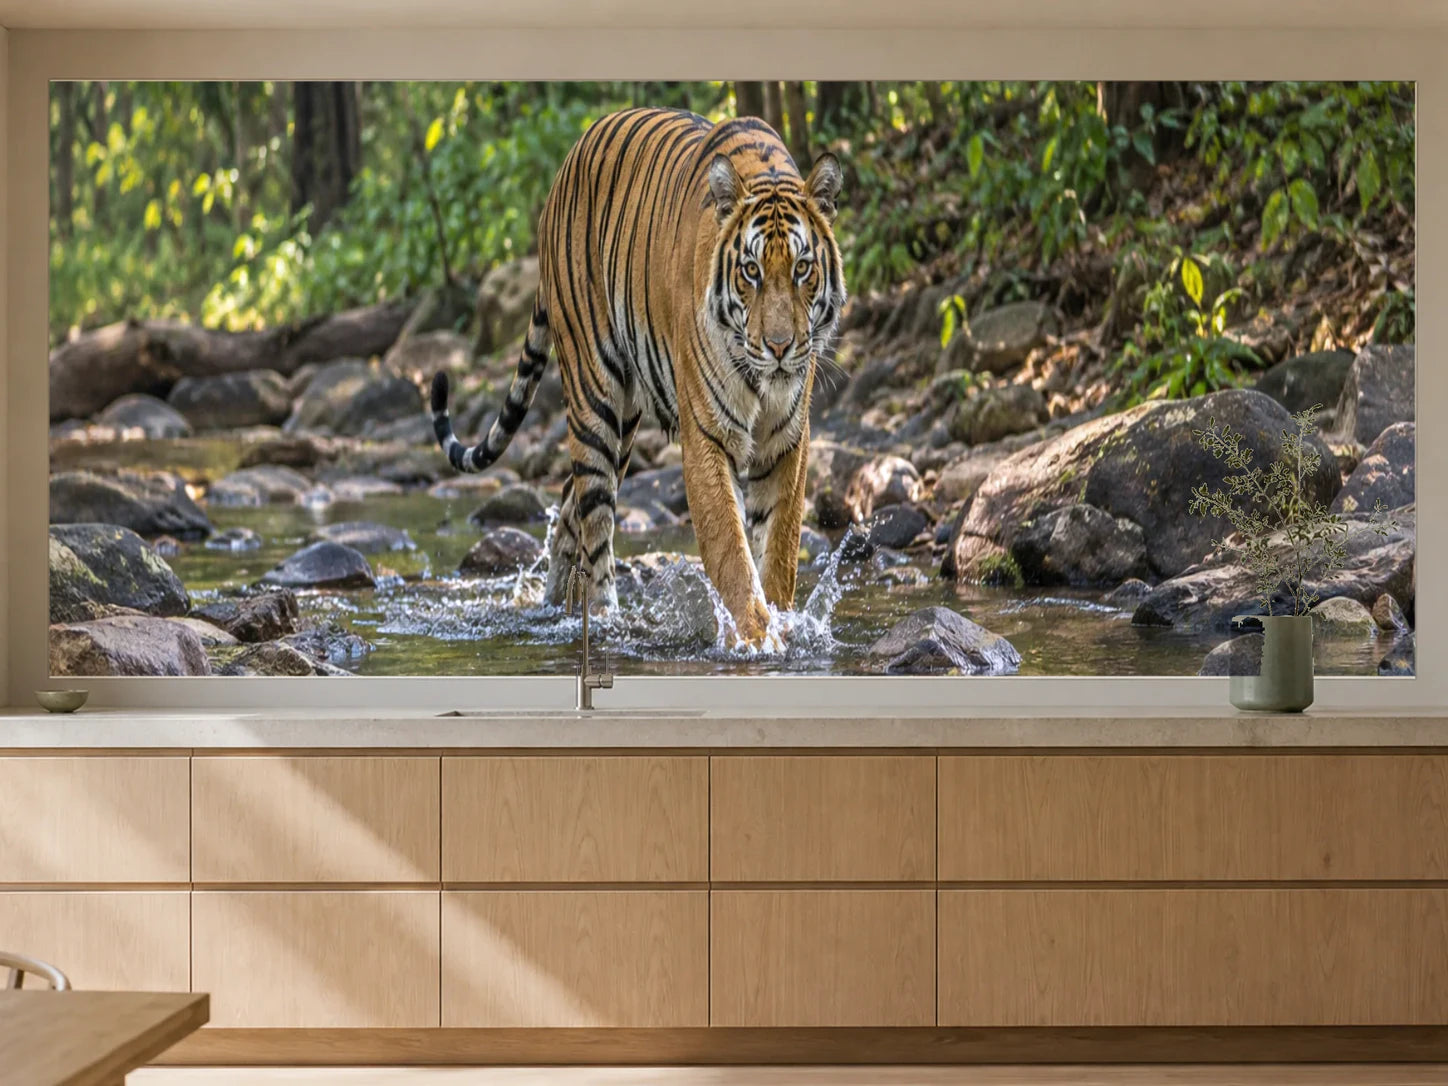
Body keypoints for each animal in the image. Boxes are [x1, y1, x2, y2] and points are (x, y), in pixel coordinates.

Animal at [431, 107, 845, 651]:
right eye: (751, 271)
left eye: (802, 269)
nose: (779, 347)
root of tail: (565, 165)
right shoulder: (707, 434)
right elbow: (731, 549)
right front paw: (755, 635)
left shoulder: (786, 442)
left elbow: (777, 548)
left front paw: (784, 622)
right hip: (595, 402)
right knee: (595, 525)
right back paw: (603, 618)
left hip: (625, 425)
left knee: (569, 510)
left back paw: (554, 607)